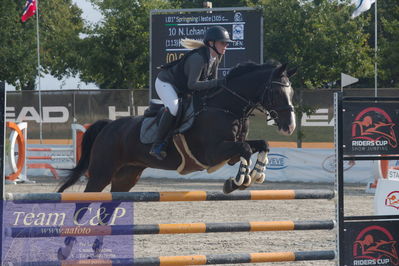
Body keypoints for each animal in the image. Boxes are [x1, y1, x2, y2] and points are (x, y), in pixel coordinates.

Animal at [57, 60, 298, 260]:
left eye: (292, 92)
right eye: (276, 92)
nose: (289, 126)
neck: (226, 107)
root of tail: (108, 125)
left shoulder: (230, 154)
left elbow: (261, 145)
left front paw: (256, 174)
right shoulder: (212, 153)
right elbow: (247, 148)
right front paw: (238, 182)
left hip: (126, 177)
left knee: (107, 210)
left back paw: (97, 251)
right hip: (102, 173)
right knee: (82, 206)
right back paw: (66, 250)